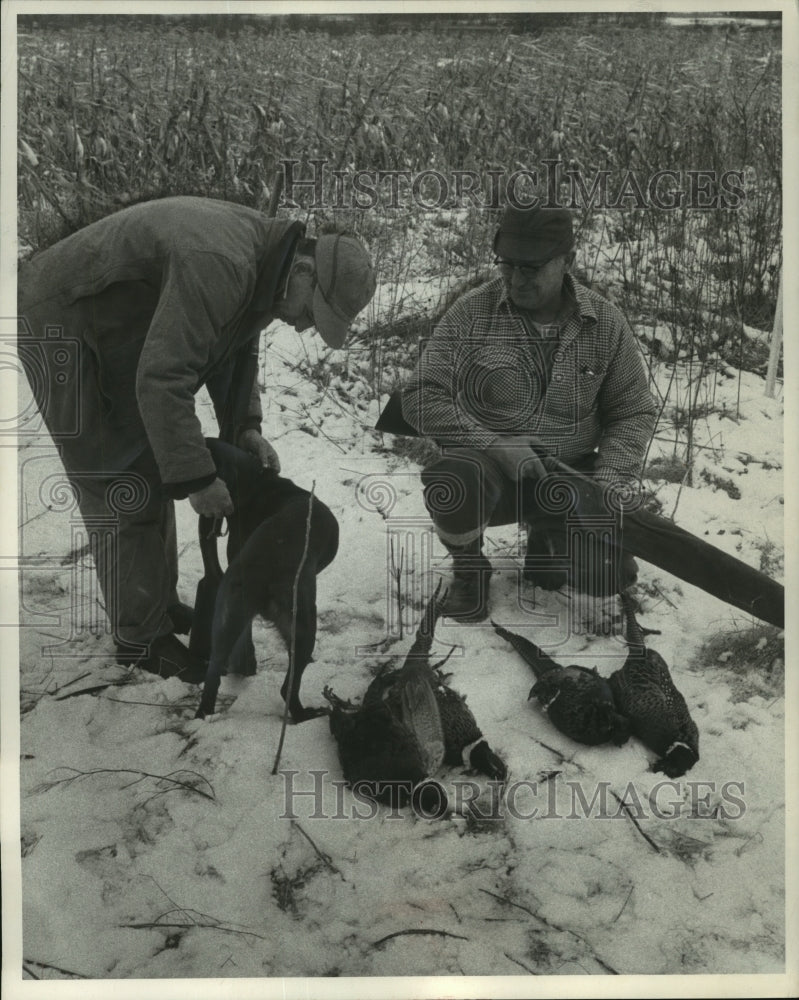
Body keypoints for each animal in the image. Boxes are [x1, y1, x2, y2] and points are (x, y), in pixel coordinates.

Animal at [197, 442, 340, 724]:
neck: (256, 482)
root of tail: (259, 574)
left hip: (226, 620)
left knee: (212, 675)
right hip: (303, 623)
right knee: (288, 688)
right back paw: (305, 714)